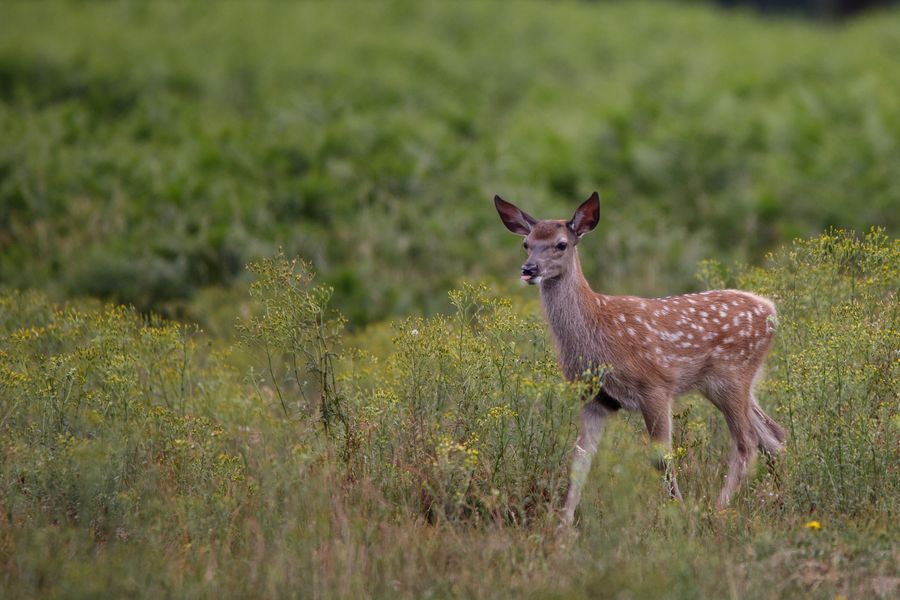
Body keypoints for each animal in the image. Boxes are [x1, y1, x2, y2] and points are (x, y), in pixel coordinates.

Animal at [494, 192, 786, 525]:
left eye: (561, 244)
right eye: (526, 243)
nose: (529, 269)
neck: (598, 330)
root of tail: (771, 310)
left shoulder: (654, 385)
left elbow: (662, 458)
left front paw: (678, 513)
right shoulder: (596, 398)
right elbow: (579, 461)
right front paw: (563, 526)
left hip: (733, 374)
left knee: (746, 440)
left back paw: (719, 507)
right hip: (722, 383)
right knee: (773, 435)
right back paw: (778, 499)